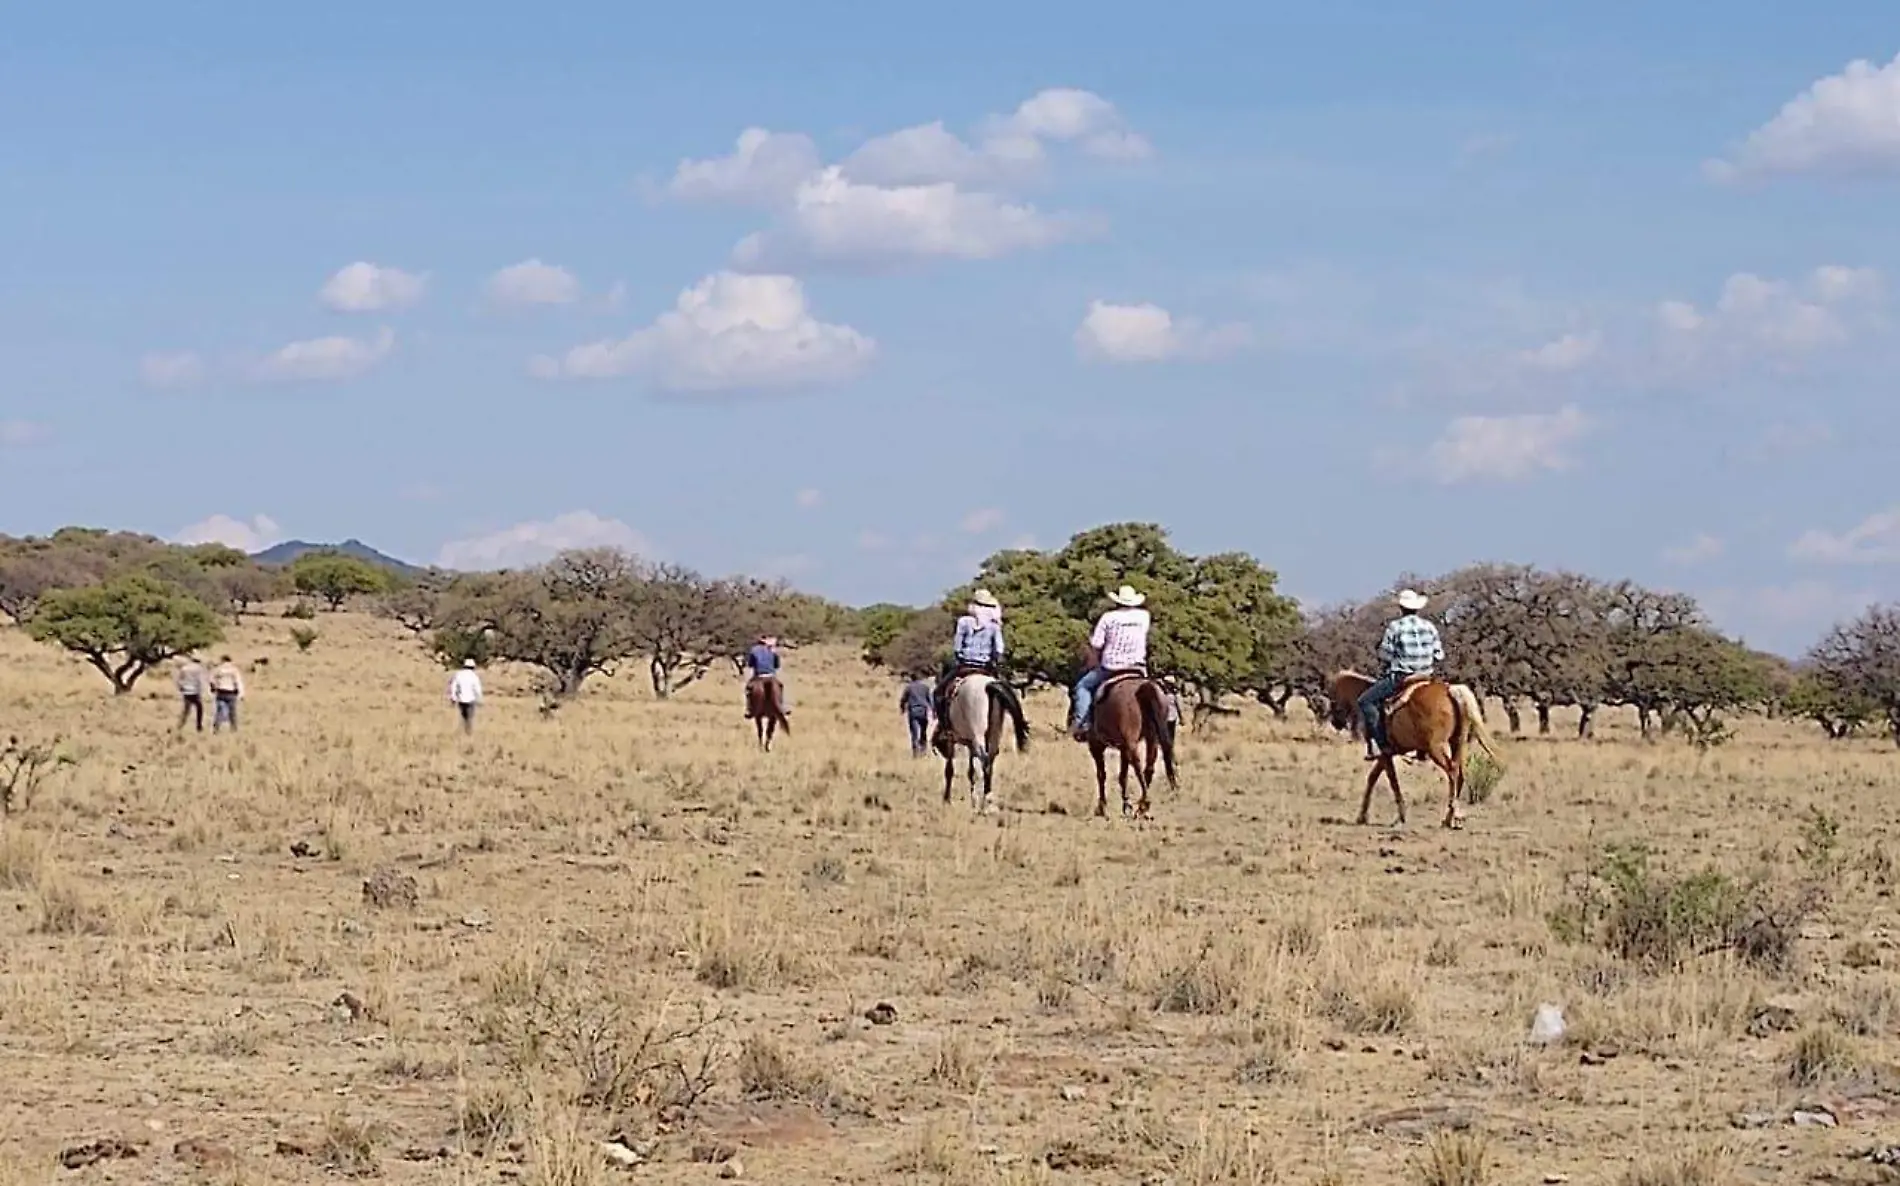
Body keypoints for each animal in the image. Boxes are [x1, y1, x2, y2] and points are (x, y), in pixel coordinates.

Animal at [931, 672, 1033, 809]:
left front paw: (947, 799)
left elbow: (949, 770)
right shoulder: (970, 744)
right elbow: (971, 772)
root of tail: (988, 685)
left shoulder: (951, 741)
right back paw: (987, 798)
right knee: (990, 759)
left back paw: (986, 801)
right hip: (994, 733)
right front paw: (973, 800)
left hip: (978, 734)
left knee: (985, 760)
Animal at [1086, 672, 1170, 821]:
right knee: (1148, 767)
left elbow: (1101, 775)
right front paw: (1126, 805)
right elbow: (1122, 776)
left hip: (1131, 742)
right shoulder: (1123, 747)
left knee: (1137, 766)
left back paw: (1144, 805)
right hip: (1151, 737)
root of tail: (1144, 686)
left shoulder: (1096, 746)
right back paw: (1142, 807)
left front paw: (1102, 808)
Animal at [1322, 672, 1497, 828]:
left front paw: (1401, 816)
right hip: (1457, 743)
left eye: (1333, 697)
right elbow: (1372, 778)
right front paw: (1362, 816)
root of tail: (1449, 690)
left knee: (1452, 771)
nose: (1336, 723)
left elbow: (1392, 781)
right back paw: (1449, 818)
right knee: (1459, 774)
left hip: (1436, 748)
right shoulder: (1387, 753)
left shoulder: (1385, 753)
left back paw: (1454, 817)